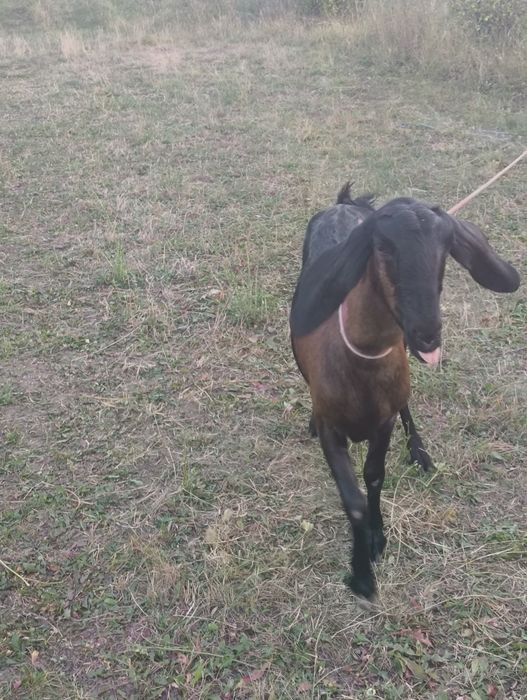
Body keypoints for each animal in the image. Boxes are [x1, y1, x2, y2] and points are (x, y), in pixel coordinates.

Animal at [290, 183, 520, 599]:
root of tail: (343, 204)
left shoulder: (383, 420)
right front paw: (362, 574)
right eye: (383, 247)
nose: (427, 333)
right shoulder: (333, 429)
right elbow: (354, 501)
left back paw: (420, 451)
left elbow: (374, 475)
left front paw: (376, 539)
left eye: (446, 250)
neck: (358, 362)